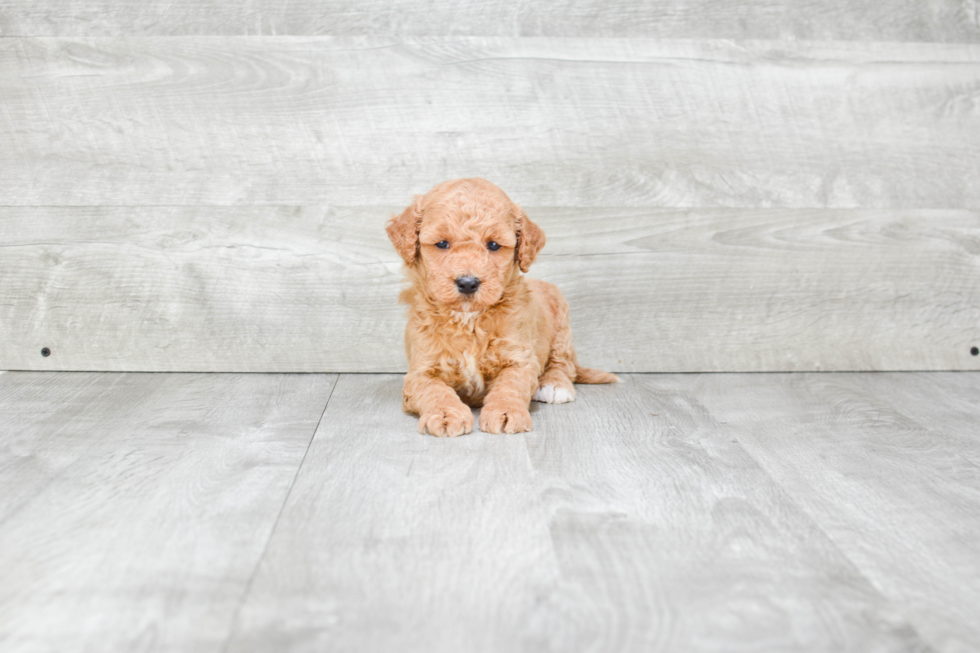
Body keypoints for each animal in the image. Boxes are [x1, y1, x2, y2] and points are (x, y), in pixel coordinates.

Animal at [386, 176, 616, 436]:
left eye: (494, 245)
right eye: (442, 243)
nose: (468, 283)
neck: (469, 319)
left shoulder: (519, 358)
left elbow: (510, 385)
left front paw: (506, 412)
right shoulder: (420, 369)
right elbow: (433, 389)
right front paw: (445, 414)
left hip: (561, 322)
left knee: (563, 361)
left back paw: (555, 385)